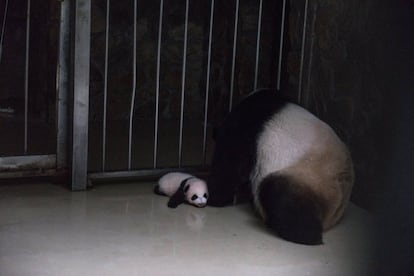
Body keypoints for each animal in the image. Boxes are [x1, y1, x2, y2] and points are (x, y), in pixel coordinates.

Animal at [209, 88, 354, 244]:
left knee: (280, 196)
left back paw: (296, 231)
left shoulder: (243, 128)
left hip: (305, 176)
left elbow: (229, 165)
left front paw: (213, 196)